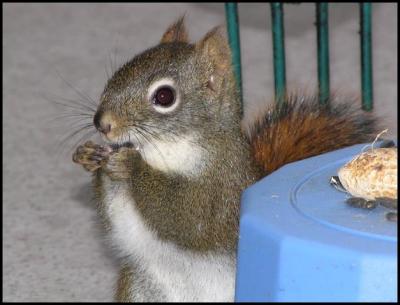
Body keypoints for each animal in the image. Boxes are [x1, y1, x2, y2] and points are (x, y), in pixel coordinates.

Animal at [72, 17, 382, 300]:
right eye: (119, 72)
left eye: (164, 96)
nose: (102, 123)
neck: (162, 150)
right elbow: (116, 217)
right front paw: (91, 156)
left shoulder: (222, 184)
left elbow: (187, 218)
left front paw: (130, 166)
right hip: (140, 289)